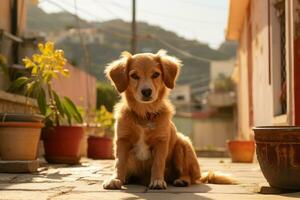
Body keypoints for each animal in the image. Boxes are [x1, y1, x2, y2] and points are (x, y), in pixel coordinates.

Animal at [103, 50, 234, 189]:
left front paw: (157, 181)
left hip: (183, 143)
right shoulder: (122, 140)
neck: (145, 114)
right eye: (134, 75)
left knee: (188, 175)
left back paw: (181, 180)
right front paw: (115, 179)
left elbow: (158, 163)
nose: (146, 91)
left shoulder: (161, 142)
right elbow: (119, 162)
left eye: (156, 74)